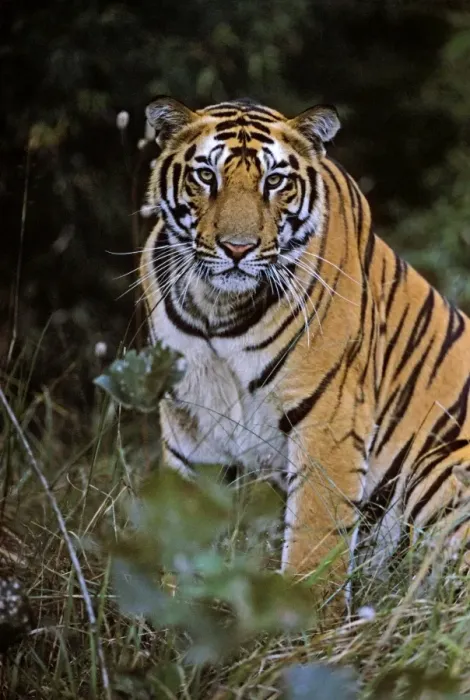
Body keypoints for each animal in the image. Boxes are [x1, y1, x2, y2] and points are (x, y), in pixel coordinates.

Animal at [139, 96, 470, 605]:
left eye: (274, 181)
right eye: (206, 176)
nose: (237, 248)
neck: (217, 309)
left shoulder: (331, 419)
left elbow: (314, 541)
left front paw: (300, 619)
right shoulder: (189, 419)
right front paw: (166, 610)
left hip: (438, 467)